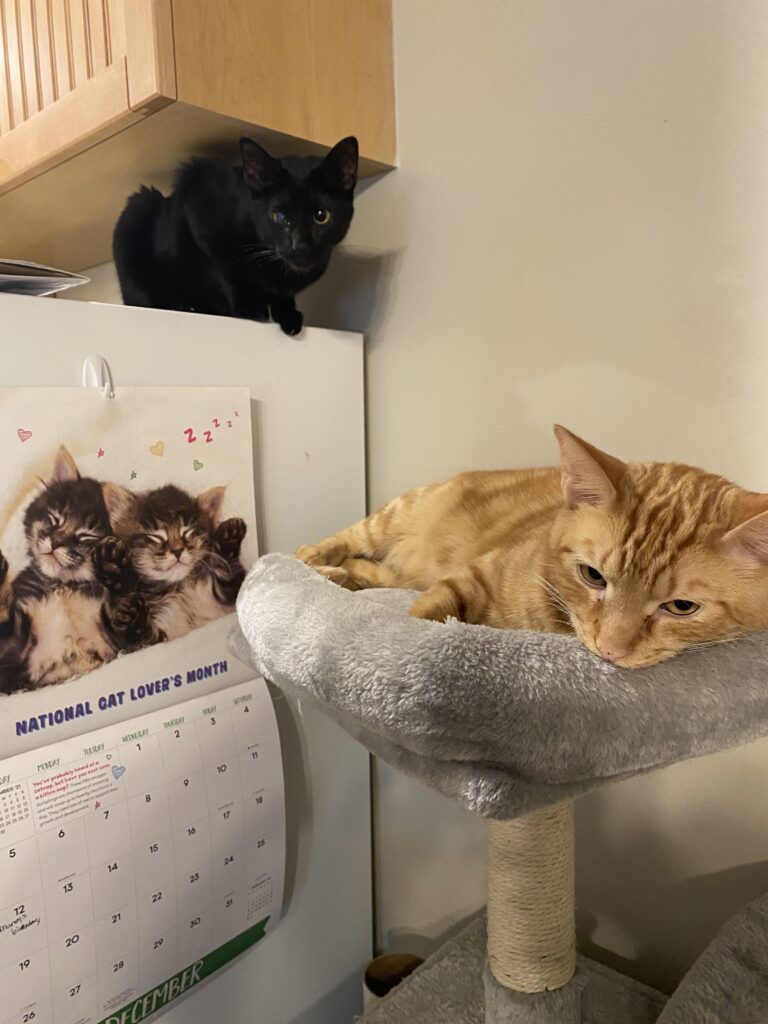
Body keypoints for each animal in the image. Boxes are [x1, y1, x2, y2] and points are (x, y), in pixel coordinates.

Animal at [101, 483, 246, 643]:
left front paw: (229, 541)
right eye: (156, 535)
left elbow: (231, 576)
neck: (179, 588)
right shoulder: (155, 640)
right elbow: (139, 635)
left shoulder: (231, 602)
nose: (177, 550)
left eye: (187, 531)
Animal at [112, 136, 360, 333]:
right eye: (278, 216)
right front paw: (249, 306)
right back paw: (184, 306)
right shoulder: (198, 201)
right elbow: (228, 267)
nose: (299, 245)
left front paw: (288, 314)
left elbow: (283, 294)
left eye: (321, 215)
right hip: (139, 208)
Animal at [299, 425, 768, 671]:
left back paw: (342, 575)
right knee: (337, 543)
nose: (610, 649)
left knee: (369, 570)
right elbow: (424, 618)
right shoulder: (469, 577)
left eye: (682, 607)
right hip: (394, 517)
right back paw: (316, 562)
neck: (552, 624)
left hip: (400, 570)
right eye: (593, 576)